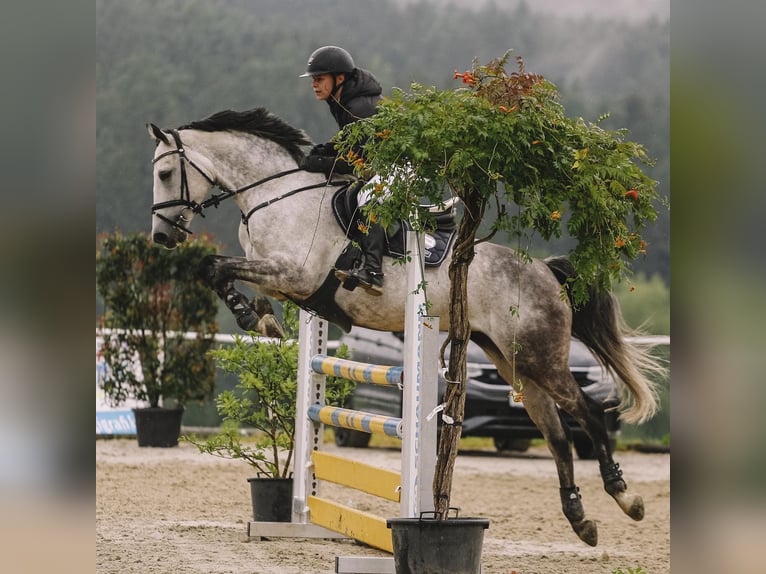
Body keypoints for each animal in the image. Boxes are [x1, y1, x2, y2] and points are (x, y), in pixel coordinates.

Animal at [147, 108, 664, 548]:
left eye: (165, 174)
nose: (161, 236)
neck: (274, 196)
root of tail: (546, 272)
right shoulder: (281, 278)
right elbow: (218, 271)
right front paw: (259, 316)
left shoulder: (293, 273)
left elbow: (215, 266)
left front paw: (255, 316)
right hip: (513, 362)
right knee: (556, 434)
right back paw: (580, 519)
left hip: (540, 355)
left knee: (589, 415)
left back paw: (626, 497)